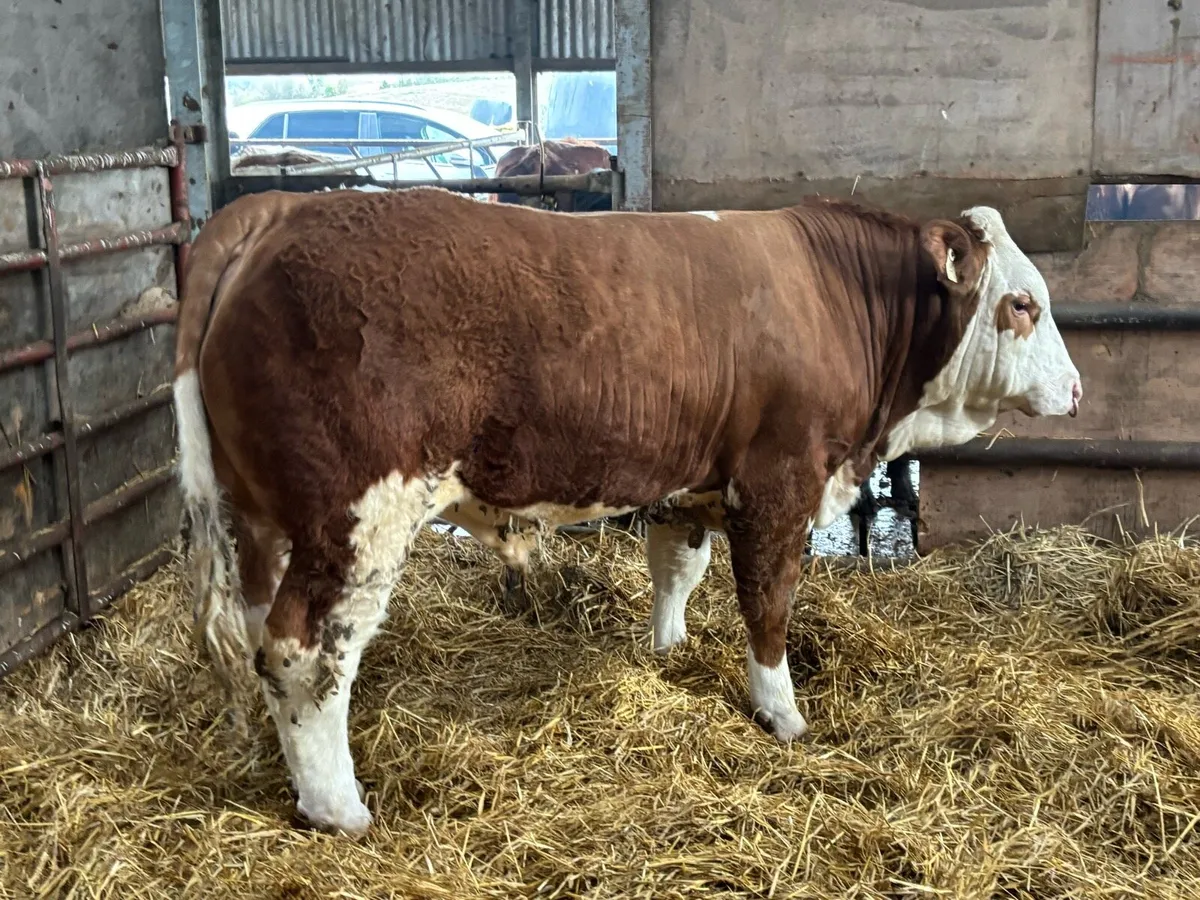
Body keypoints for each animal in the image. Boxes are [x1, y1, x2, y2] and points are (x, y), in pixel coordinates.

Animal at [172, 187, 1082, 836]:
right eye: (1023, 304)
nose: (1076, 390)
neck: (833, 295)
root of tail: (281, 208)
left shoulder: (690, 483)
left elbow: (678, 569)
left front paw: (669, 651)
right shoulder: (780, 481)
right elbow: (769, 605)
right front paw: (781, 712)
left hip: (261, 518)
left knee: (255, 634)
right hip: (358, 518)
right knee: (305, 653)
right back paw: (339, 808)